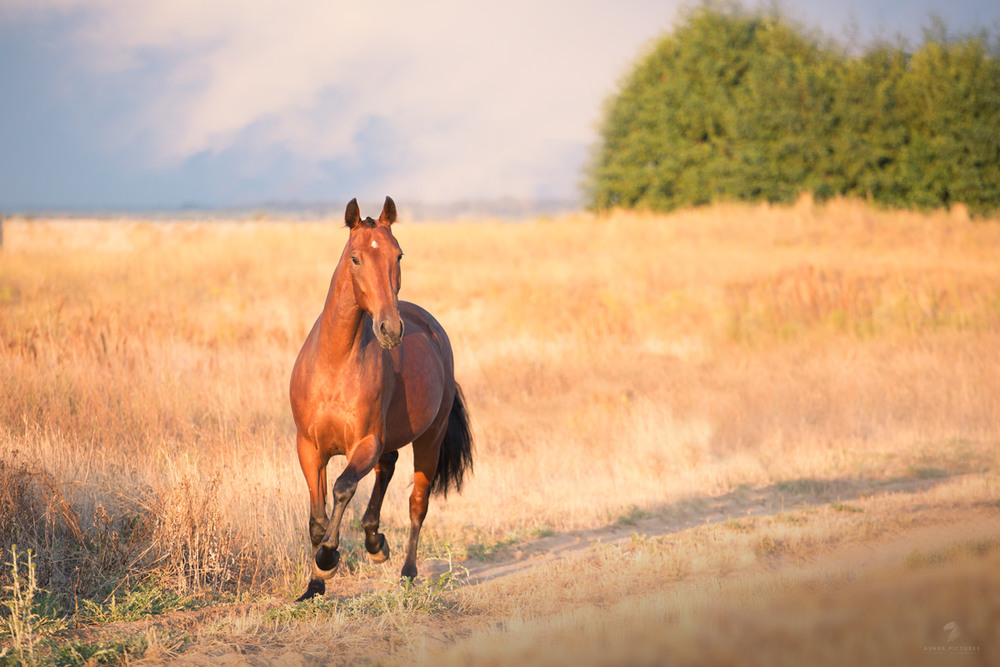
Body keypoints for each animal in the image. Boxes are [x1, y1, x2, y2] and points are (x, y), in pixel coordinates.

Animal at [290, 196, 476, 604]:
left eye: (399, 255)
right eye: (355, 258)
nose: (390, 329)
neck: (335, 362)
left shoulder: (365, 443)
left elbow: (343, 488)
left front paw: (327, 559)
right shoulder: (309, 447)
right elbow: (316, 519)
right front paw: (313, 585)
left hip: (429, 439)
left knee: (417, 504)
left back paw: (406, 573)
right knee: (386, 471)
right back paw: (376, 542)